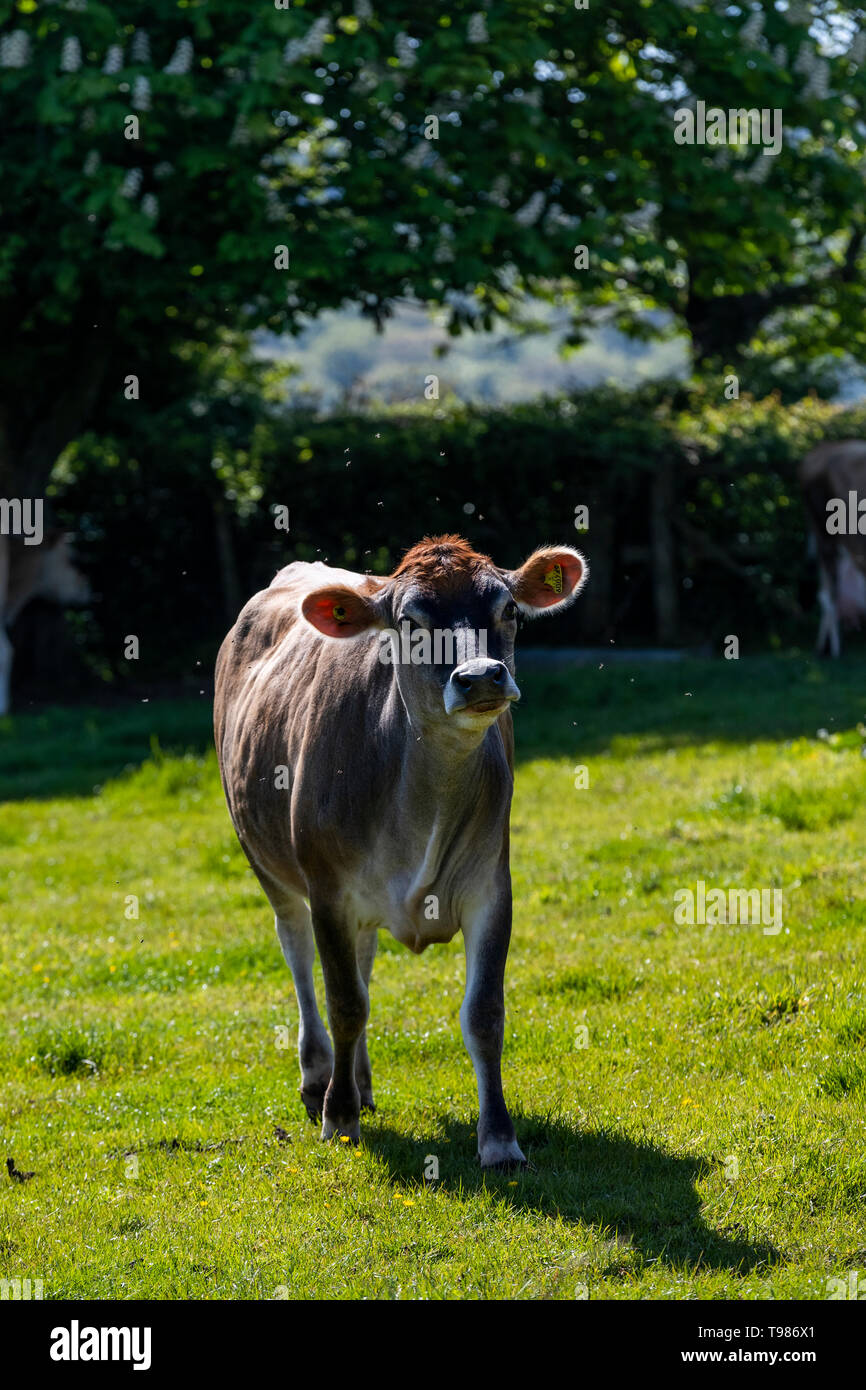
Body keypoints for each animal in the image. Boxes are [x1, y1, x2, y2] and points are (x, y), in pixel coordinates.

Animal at [215, 536, 589, 1167]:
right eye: (410, 621)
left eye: (509, 611)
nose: (481, 677)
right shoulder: (329, 891)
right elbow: (345, 1002)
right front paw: (338, 1117)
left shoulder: (492, 888)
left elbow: (484, 1015)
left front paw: (499, 1139)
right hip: (268, 863)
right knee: (297, 953)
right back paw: (320, 1080)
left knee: (363, 961)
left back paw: (359, 1082)